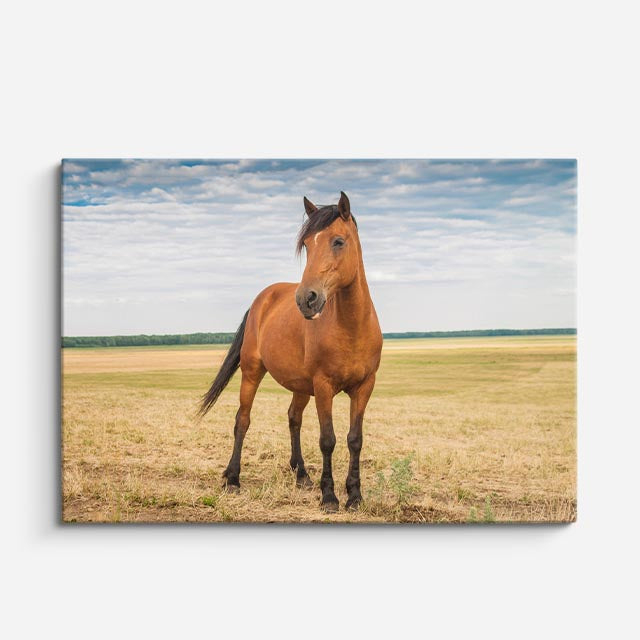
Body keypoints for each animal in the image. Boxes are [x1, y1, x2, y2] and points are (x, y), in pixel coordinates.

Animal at [199, 192, 382, 512]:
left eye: (338, 241)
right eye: (307, 245)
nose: (306, 299)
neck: (352, 326)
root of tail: (262, 299)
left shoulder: (364, 387)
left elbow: (355, 439)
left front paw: (355, 495)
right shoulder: (323, 386)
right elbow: (327, 439)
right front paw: (329, 496)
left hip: (300, 386)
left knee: (293, 418)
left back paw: (302, 475)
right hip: (252, 372)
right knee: (242, 420)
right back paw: (233, 478)